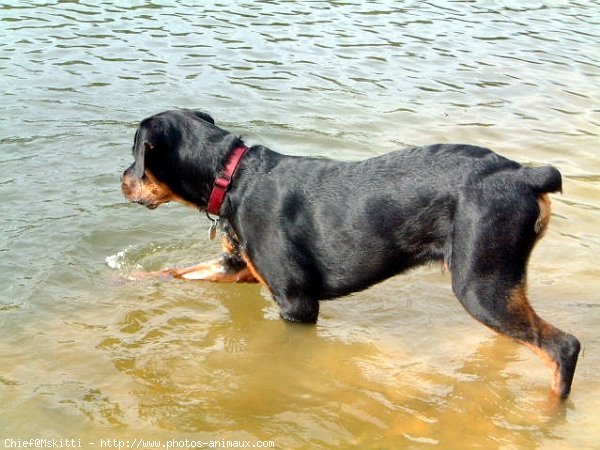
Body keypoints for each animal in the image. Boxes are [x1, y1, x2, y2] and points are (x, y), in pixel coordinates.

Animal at [123, 108, 580, 398]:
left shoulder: (297, 303)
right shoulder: (238, 268)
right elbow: (176, 272)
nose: (122, 180)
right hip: (496, 284)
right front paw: (126, 279)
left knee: (564, 347)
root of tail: (525, 176)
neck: (232, 179)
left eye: (136, 156)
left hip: (480, 282)